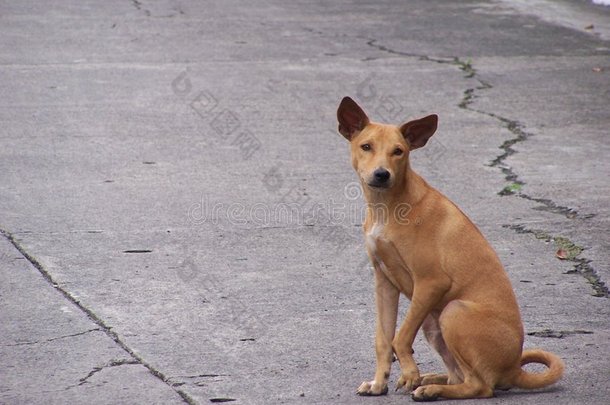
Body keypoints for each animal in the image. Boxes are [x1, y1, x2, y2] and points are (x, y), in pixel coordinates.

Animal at [334, 96, 564, 400]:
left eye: (398, 151)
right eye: (366, 146)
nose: (382, 174)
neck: (388, 208)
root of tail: (514, 367)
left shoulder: (432, 282)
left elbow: (401, 336)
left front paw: (410, 373)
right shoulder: (384, 282)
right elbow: (383, 338)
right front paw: (379, 382)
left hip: (452, 311)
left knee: (480, 386)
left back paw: (429, 387)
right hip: (433, 324)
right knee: (460, 376)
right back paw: (433, 380)